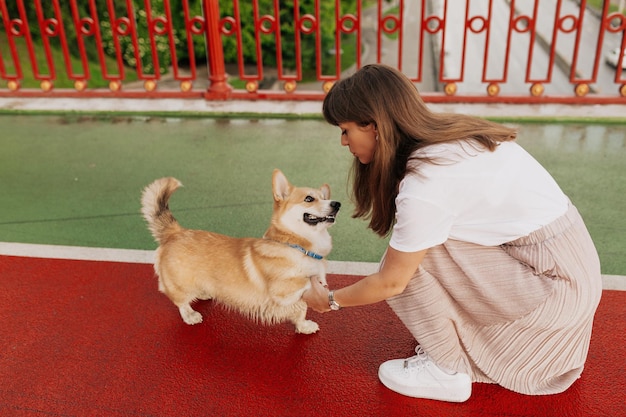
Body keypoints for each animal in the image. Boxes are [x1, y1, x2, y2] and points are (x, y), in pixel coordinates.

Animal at [140, 167, 342, 334]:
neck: (298, 246)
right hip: (181, 284)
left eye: (324, 197)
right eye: (309, 199)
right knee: (181, 301)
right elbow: (304, 290)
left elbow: (301, 310)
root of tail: (175, 232)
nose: (337, 204)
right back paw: (190, 315)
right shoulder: (283, 291)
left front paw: (304, 326)